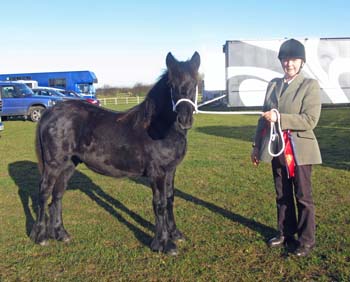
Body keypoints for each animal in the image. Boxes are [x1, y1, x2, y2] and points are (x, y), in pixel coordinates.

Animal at [30, 51, 200, 256]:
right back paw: (41, 237)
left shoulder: (170, 170)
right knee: (44, 193)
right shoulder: (157, 173)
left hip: (68, 165)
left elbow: (170, 199)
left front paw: (175, 234)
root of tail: (50, 112)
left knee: (57, 196)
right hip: (53, 165)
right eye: (171, 85)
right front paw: (164, 243)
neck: (158, 127)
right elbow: (159, 204)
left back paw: (61, 234)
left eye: (196, 83)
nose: (185, 119)